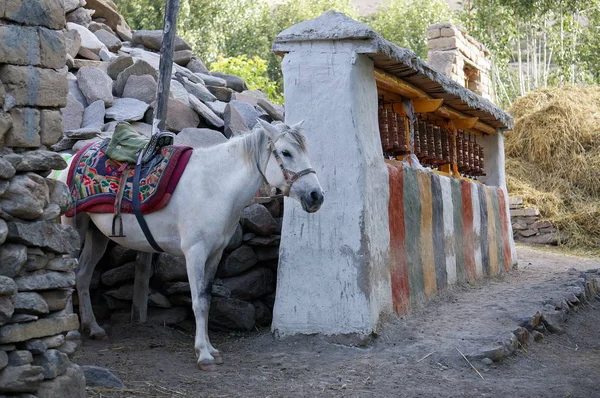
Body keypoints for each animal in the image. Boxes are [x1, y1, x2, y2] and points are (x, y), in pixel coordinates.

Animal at [57, 120, 324, 370]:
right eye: (286, 152)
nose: (316, 196)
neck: (215, 187)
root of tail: (71, 161)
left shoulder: (215, 254)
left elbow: (206, 299)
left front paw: (210, 349)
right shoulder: (195, 253)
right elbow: (198, 302)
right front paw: (203, 355)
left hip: (98, 235)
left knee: (82, 276)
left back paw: (94, 328)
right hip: (74, 228)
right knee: (69, 277)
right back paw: (72, 333)